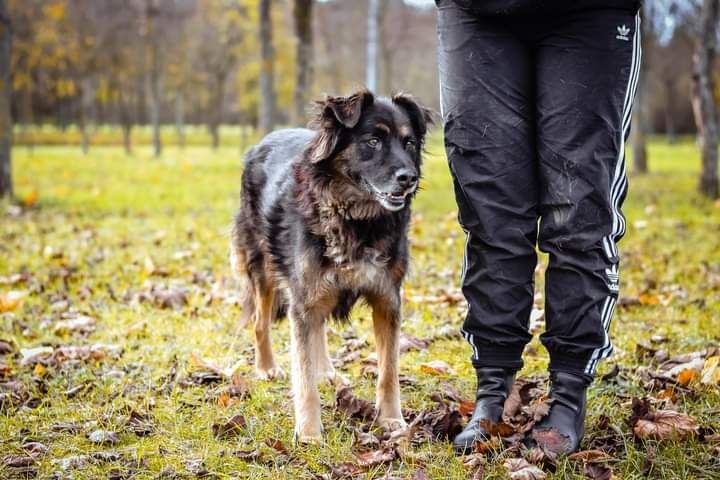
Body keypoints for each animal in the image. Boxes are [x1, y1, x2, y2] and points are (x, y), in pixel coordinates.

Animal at [232, 89, 434, 442]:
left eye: (408, 142)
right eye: (373, 141)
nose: (409, 178)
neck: (358, 220)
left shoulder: (387, 299)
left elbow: (389, 370)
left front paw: (391, 419)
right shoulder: (302, 299)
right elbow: (303, 376)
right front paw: (310, 432)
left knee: (319, 328)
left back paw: (326, 370)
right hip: (264, 267)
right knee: (260, 321)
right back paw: (267, 367)